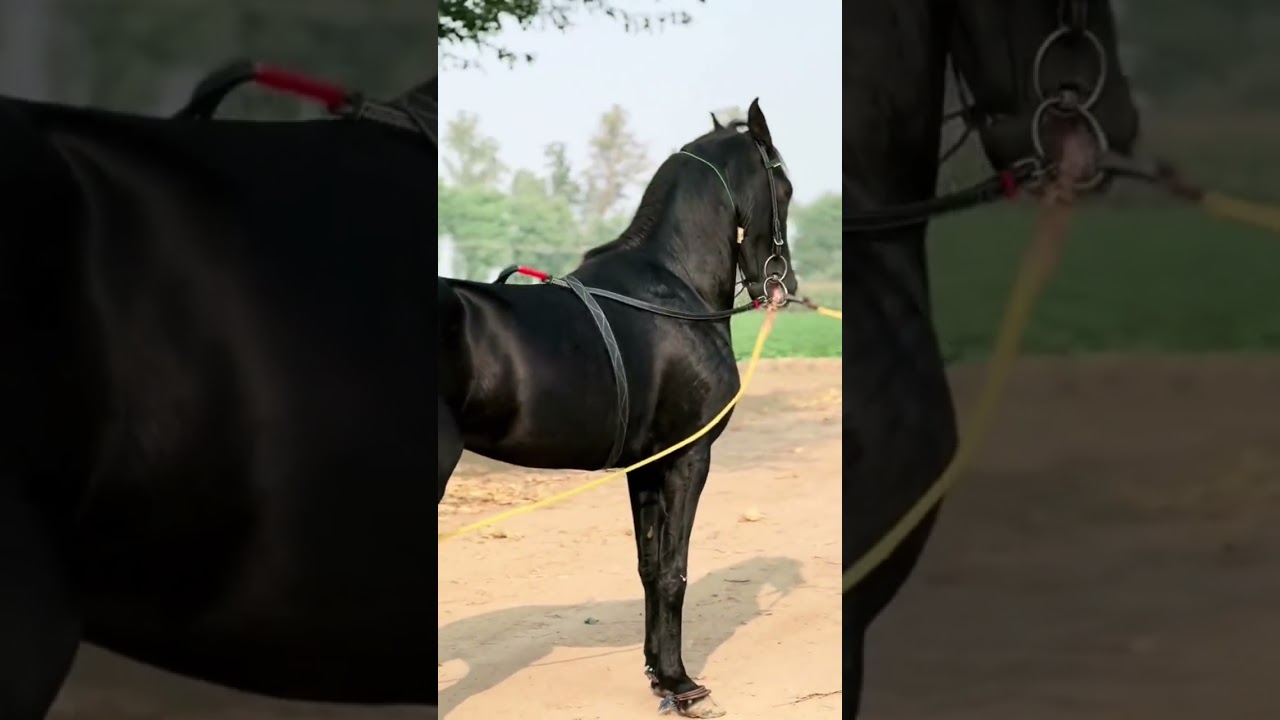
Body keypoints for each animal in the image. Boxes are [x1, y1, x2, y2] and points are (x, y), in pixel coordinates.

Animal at [437, 99, 795, 718]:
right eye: (785, 186)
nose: (783, 285)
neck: (672, 289)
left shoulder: (646, 466)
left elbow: (650, 567)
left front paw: (658, 673)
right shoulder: (687, 459)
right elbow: (674, 570)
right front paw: (683, 684)